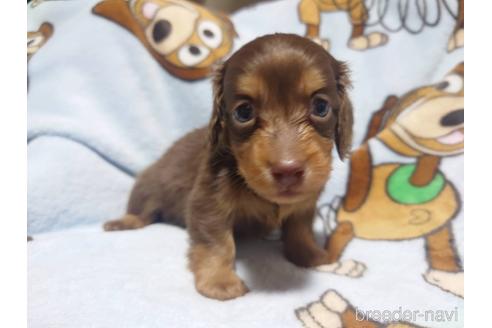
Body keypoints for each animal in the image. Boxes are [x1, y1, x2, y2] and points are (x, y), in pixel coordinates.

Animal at [104, 33, 352, 300]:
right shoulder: (208, 203)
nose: (287, 170)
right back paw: (123, 222)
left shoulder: (303, 205)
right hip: (146, 189)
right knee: (141, 211)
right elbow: (217, 243)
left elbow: (300, 231)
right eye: (244, 112)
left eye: (320, 107)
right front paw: (219, 281)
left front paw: (312, 256)